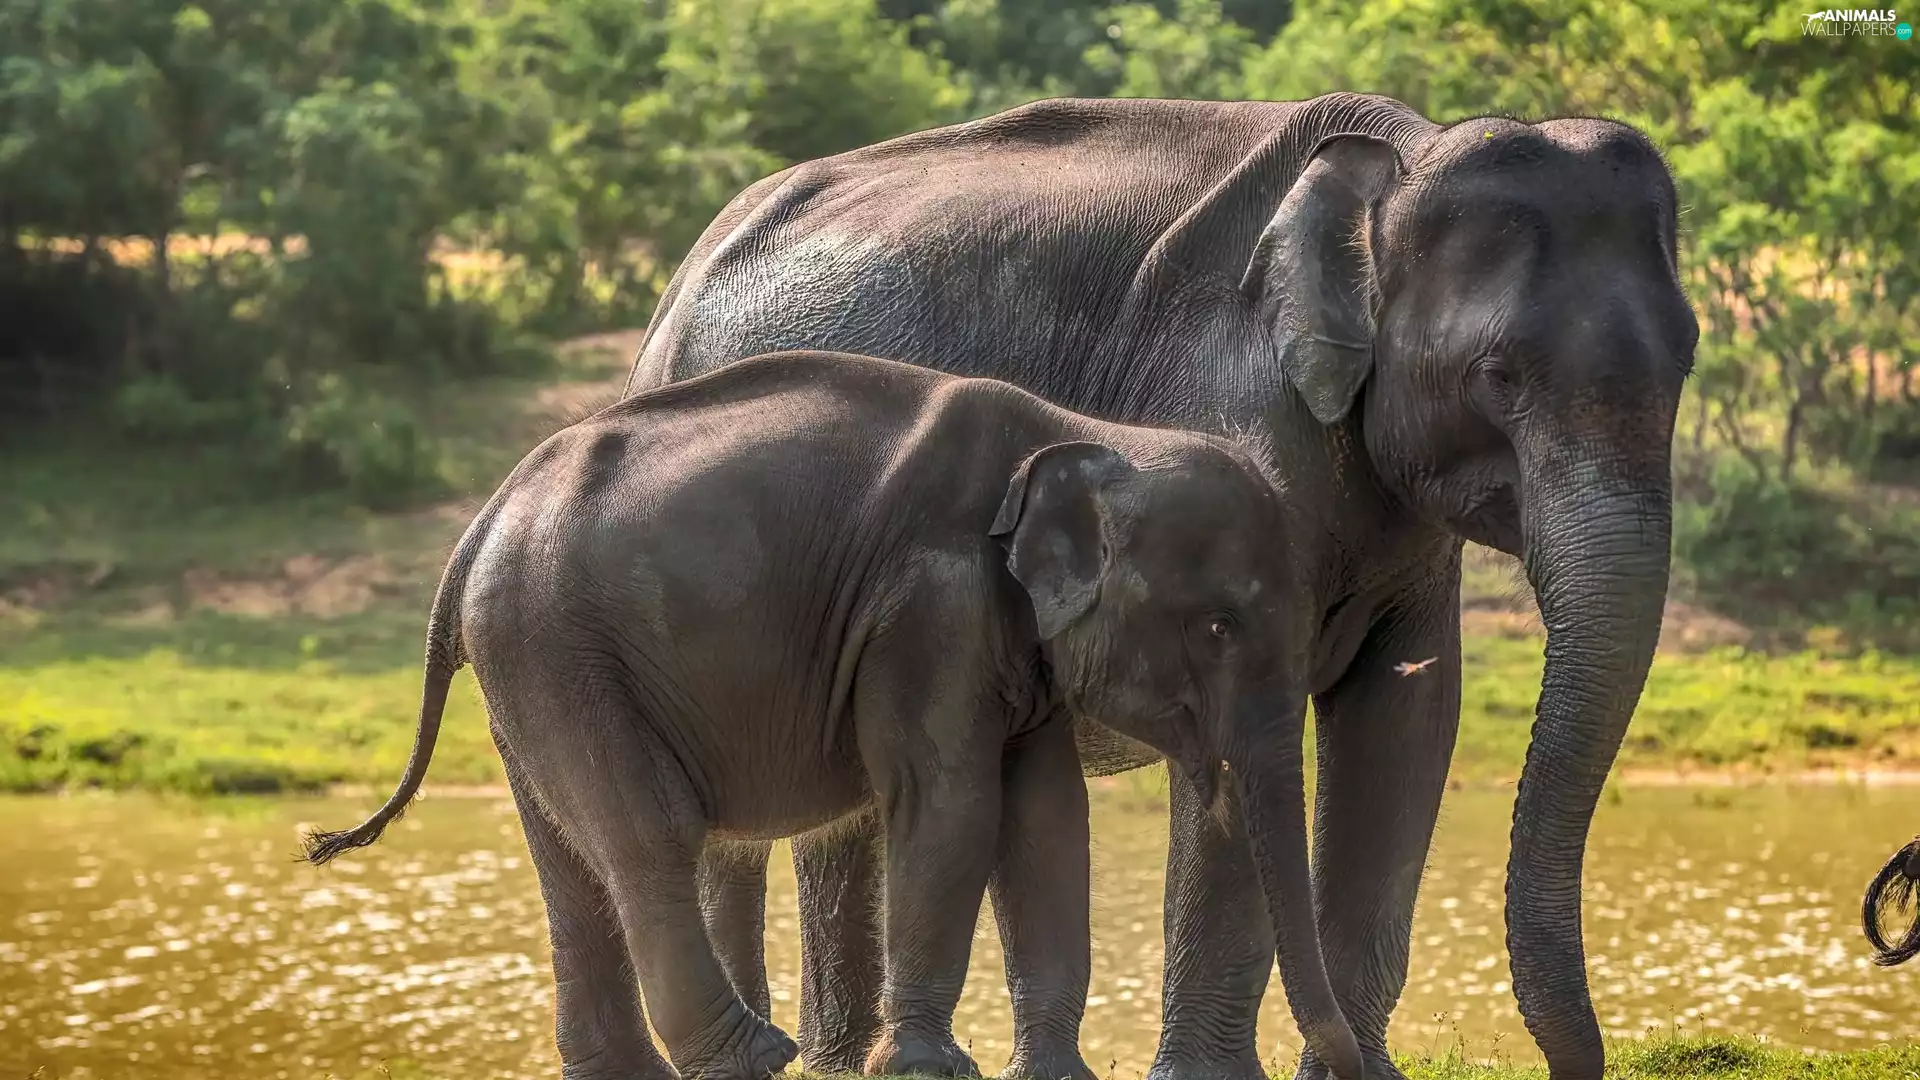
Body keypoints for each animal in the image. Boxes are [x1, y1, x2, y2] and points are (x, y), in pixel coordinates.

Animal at [302, 350, 1360, 1080]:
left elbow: (1048, 817)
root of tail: (478, 526)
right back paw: (756, 1057)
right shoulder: (930, 604)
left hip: (526, 667)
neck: (1088, 434)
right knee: (647, 838)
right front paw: (930, 1070)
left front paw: (1054, 1074)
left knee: (571, 863)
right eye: (1219, 627)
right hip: (559, 648)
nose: (1354, 1069)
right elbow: (951, 802)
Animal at [619, 92, 1700, 1080]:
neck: (1398, 159)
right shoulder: (1233, 417)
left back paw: (839, 1065)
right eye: (1499, 376)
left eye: (1687, 359)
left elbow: (1406, 722)